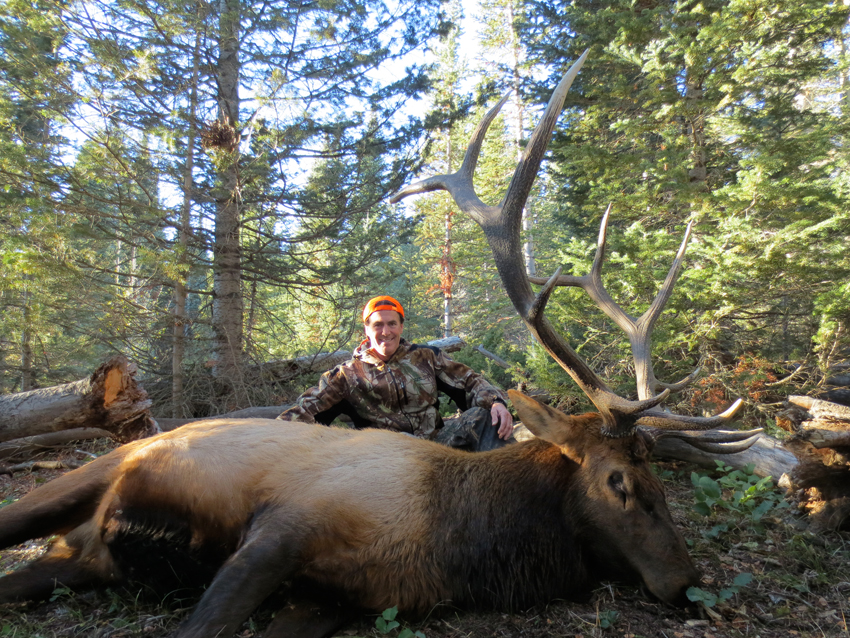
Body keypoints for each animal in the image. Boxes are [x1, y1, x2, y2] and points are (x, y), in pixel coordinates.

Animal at [0, 52, 760, 638]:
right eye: (618, 482)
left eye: (658, 479)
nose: (688, 582)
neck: (455, 542)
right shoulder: (282, 528)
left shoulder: (340, 599)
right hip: (93, 474)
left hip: (76, 557)